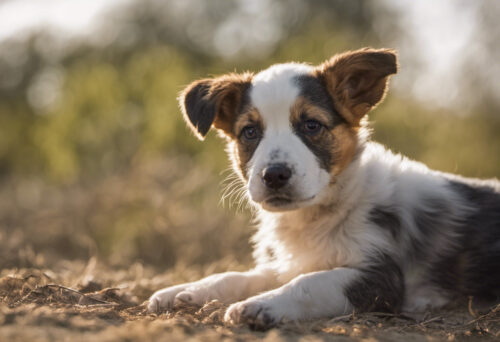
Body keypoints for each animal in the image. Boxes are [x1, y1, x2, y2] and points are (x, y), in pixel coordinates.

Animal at [148, 47, 500, 328]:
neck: (319, 216)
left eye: (312, 125)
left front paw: (261, 305)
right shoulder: (295, 260)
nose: (274, 175)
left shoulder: (381, 278)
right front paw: (186, 290)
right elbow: (241, 275)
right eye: (249, 132)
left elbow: (309, 283)